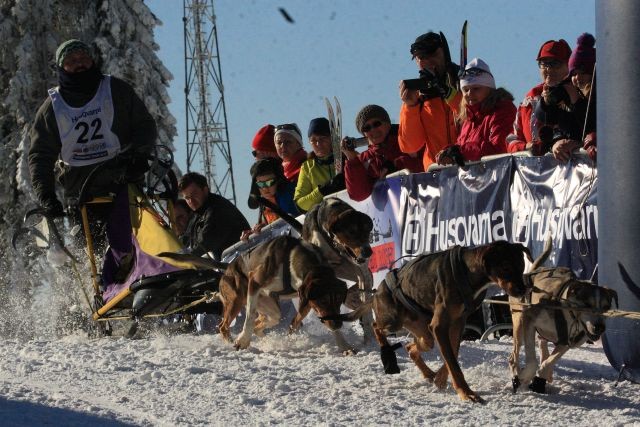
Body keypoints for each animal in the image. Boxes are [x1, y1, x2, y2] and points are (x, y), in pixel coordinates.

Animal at [340, 242, 528, 402]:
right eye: (506, 267)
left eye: (521, 266)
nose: (523, 290)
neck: (467, 272)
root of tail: (377, 291)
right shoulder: (439, 326)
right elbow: (453, 363)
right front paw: (466, 392)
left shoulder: (457, 323)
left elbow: (453, 354)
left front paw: (441, 379)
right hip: (394, 322)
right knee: (375, 327)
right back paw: (386, 352)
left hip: (424, 333)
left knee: (411, 347)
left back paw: (429, 373)